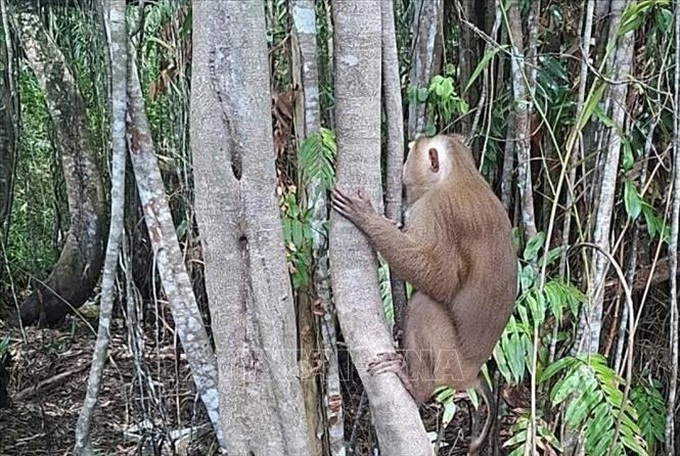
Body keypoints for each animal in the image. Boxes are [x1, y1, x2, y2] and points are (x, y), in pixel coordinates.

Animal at [331, 134, 517, 455]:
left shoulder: (435, 210)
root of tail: (472, 373)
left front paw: (367, 217)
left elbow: (439, 279)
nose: (403, 167)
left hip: (450, 364)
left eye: (411, 155)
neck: (460, 175)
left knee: (424, 306)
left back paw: (415, 387)